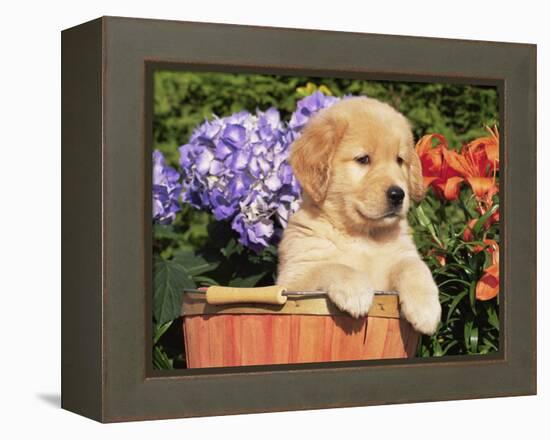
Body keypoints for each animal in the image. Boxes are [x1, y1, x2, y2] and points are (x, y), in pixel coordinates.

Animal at [278, 98, 442, 336]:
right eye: (363, 159)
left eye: (400, 160)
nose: (398, 194)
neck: (364, 235)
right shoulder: (293, 279)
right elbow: (330, 266)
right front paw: (355, 290)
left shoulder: (402, 254)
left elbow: (415, 267)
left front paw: (426, 309)